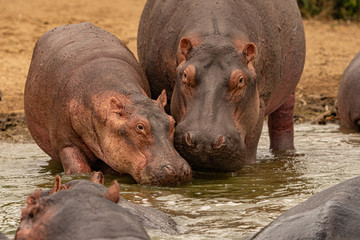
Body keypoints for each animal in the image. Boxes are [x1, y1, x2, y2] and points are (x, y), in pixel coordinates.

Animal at [136, 0, 306, 172]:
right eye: (185, 75)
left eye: (240, 80)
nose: (204, 142)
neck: (215, 39)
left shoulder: (259, 104)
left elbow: (251, 145)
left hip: (289, 89)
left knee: (283, 120)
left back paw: (286, 153)